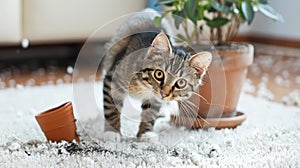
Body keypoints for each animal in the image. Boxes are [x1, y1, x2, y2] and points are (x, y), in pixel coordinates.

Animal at [101, 9, 211, 137]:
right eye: (159, 74)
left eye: (181, 83)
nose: (164, 93)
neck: (143, 85)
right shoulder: (112, 80)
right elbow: (111, 109)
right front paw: (111, 132)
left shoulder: (155, 100)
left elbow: (150, 113)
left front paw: (145, 134)